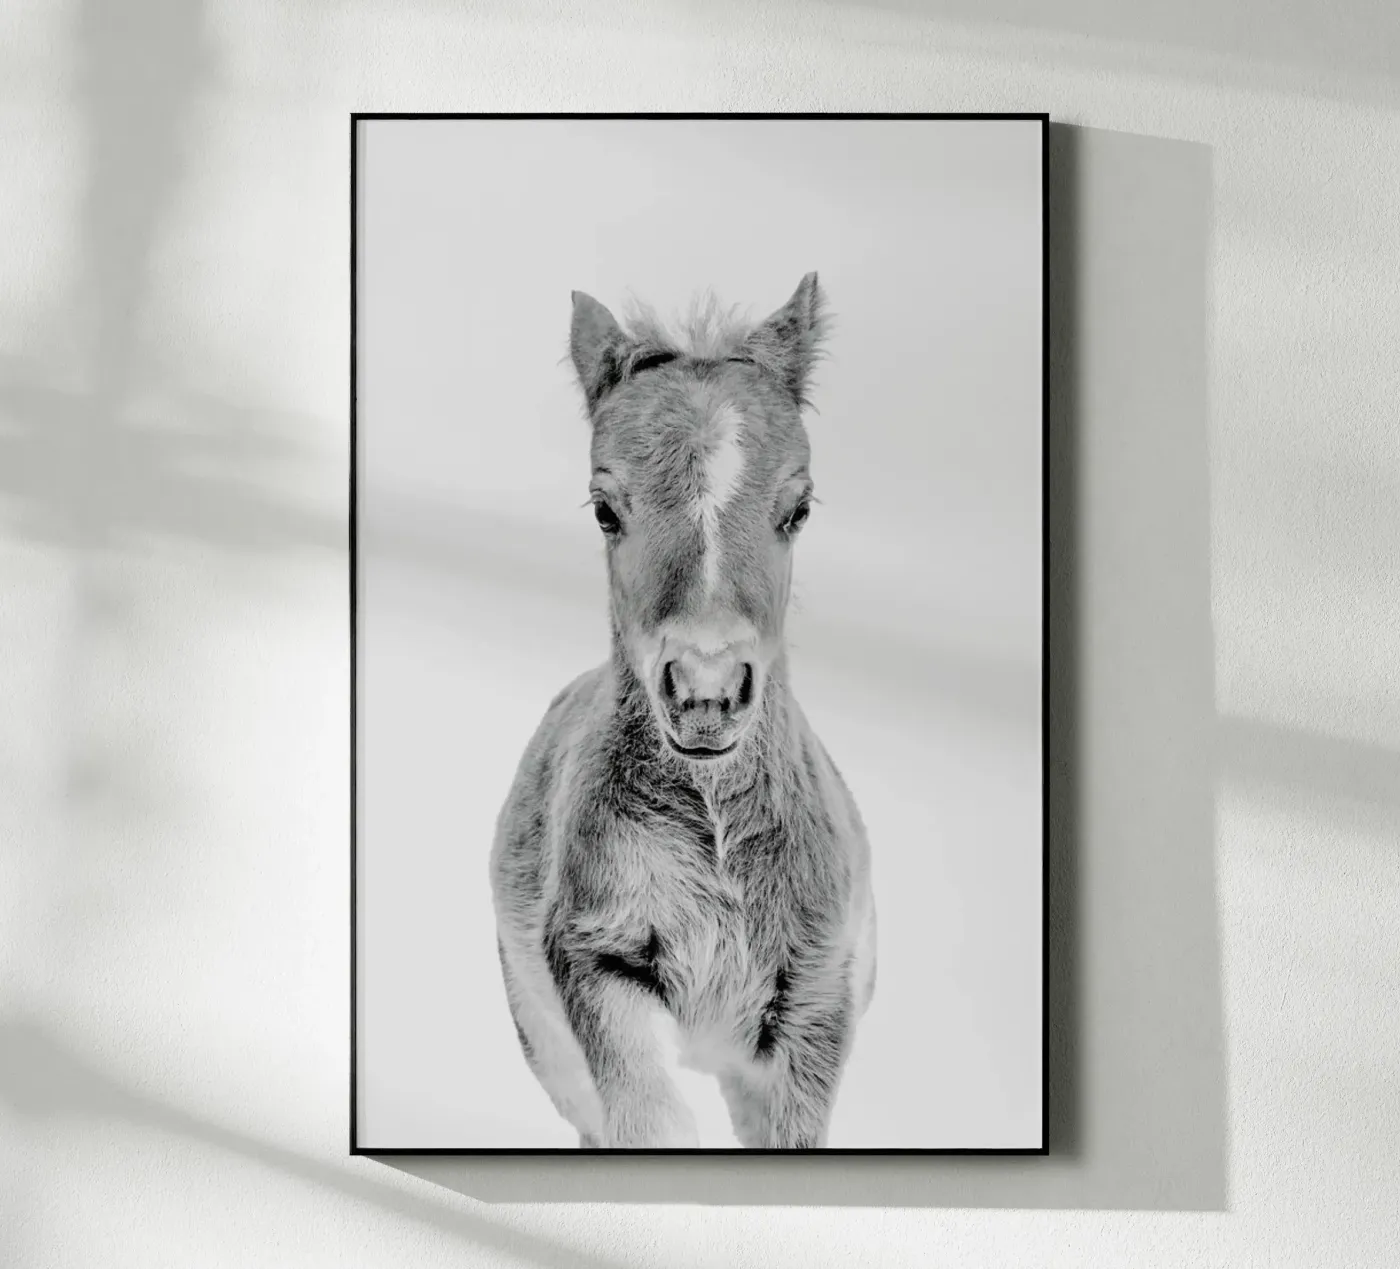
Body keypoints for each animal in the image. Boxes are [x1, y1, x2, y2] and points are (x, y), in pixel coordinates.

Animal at [489, 273, 876, 1149]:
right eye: (605, 508)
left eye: (799, 508)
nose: (705, 693)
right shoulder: (597, 966)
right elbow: (649, 1122)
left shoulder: (816, 1007)